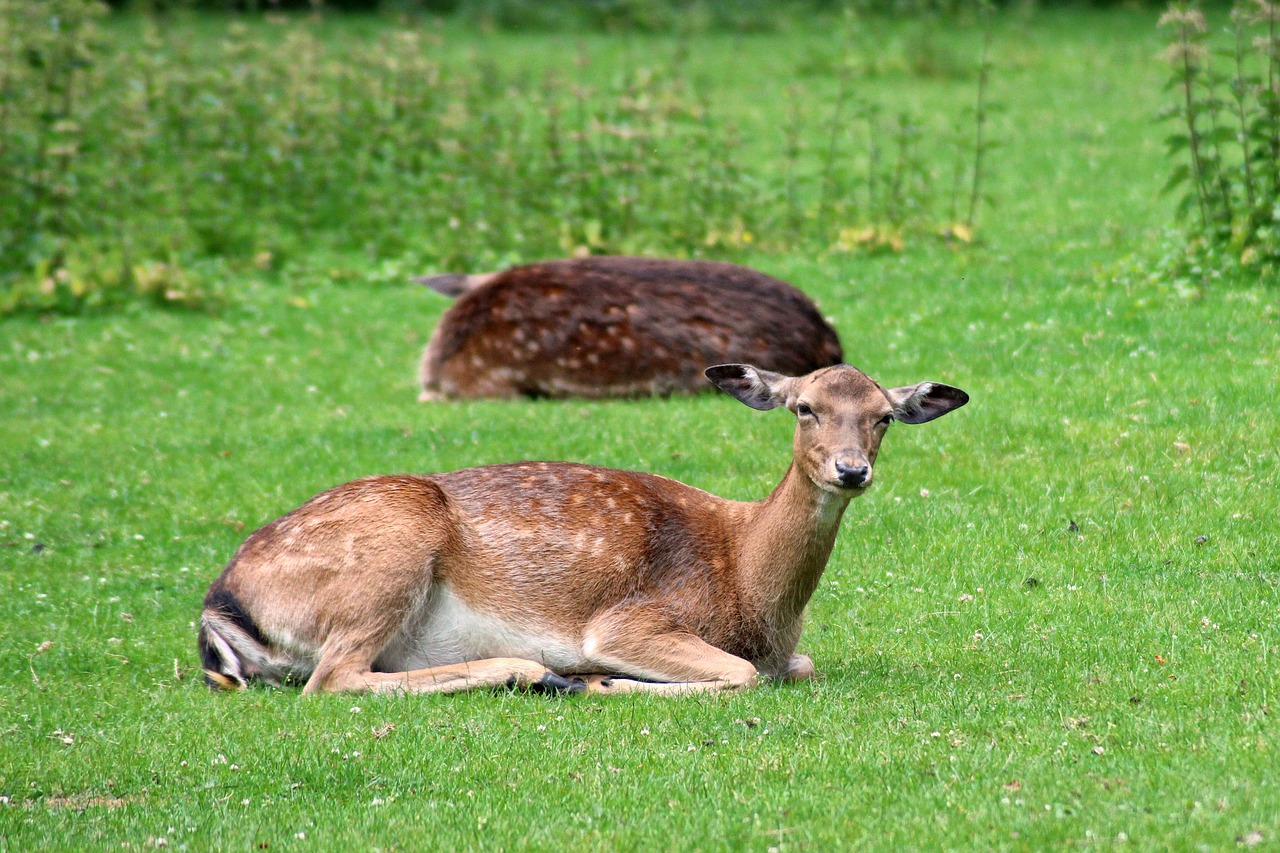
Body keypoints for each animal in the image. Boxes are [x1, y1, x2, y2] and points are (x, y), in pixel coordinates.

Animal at [194, 361, 962, 696]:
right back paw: (546, 674)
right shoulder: (630, 619)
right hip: (390, 551)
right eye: (804, 407)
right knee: (334, 678)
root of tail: (220, 605)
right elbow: (743, 673)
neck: (748, 583)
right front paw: (606, 681)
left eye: (883, 415)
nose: (851, 469)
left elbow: (798, 665)